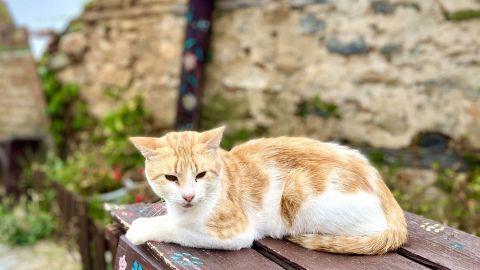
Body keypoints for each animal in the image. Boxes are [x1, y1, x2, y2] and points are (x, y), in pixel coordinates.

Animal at [125, 127, 406, 254]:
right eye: (171, 178)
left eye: (200, 175)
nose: (188, 195)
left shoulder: (236, 233)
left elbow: (177, 229)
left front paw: (142, 229)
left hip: (297, 193)